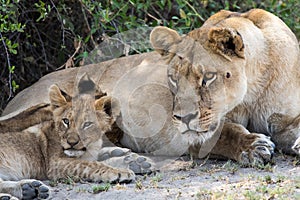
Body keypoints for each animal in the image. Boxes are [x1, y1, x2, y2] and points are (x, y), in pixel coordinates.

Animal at [2, 9, 298, 166]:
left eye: (207, 78)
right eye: (174, 79)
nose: (182, 118)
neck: (254, 88)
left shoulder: (283, 116)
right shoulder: (180, 134)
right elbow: (225, 132)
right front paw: (253, 146)